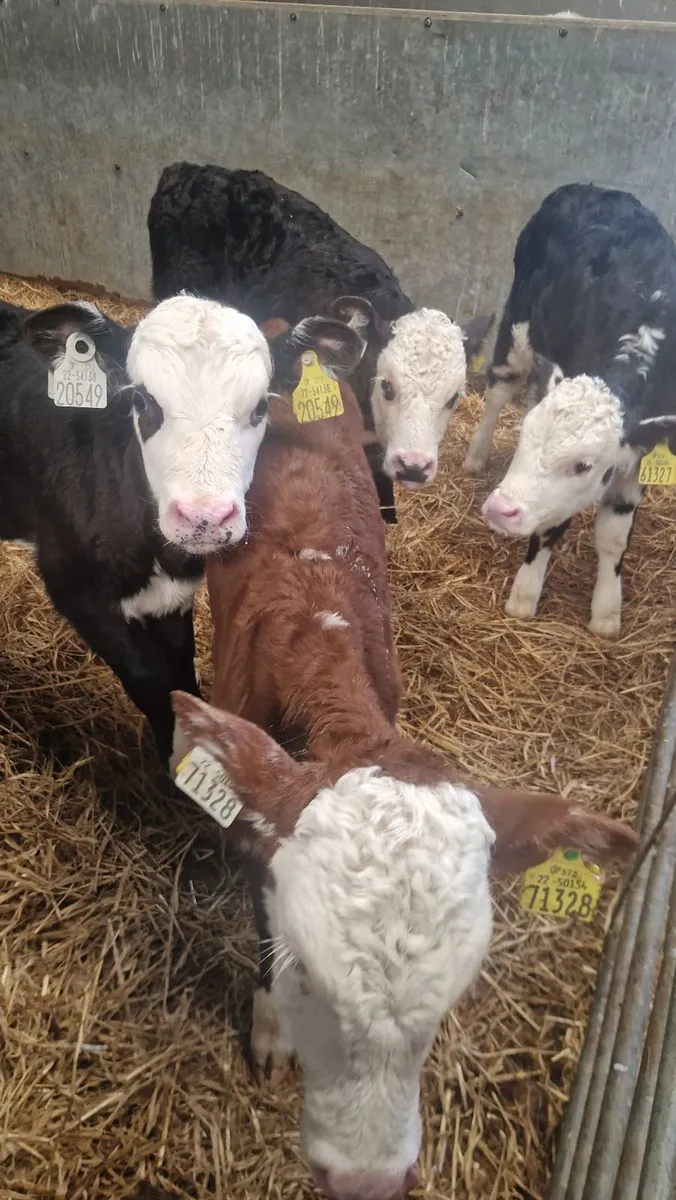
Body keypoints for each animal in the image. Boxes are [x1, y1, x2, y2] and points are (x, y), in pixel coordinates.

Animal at [0, 294, 273, 763]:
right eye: (143, 401)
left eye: (262, 407)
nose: (203, 517)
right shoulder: (75, 586)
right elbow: (150, 679)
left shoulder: (173, 594)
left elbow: (182, 674)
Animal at [463, 183, 676, 635]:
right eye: (523, 439)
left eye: (583, 465)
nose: (499, 509)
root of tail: (595, 189)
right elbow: (550, 527)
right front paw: (524, 595)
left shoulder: (640, 452)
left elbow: (614, 535)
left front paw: (607, 613)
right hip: (517, 327)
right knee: (499, 389)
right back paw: (476, 455)